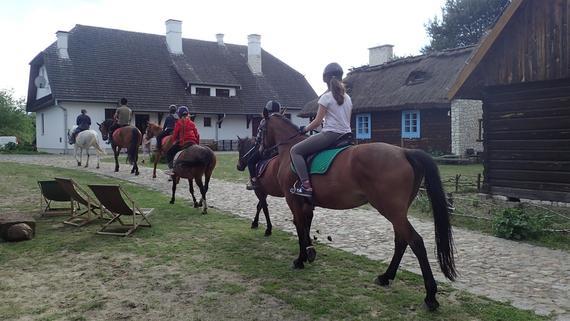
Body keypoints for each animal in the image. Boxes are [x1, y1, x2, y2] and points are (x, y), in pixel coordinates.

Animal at [260, 112, 454, 310]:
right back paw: (386, 277)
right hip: (397, 213)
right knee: (401, 241)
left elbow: (299, 228)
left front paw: (300, 260)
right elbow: (305, 227)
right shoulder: (306, 204)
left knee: (416, 242)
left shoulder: (293, 201)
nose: (260, 150)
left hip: (391, 211)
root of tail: (404, 152)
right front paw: (309, 253)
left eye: (260, 129)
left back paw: (430, 297)